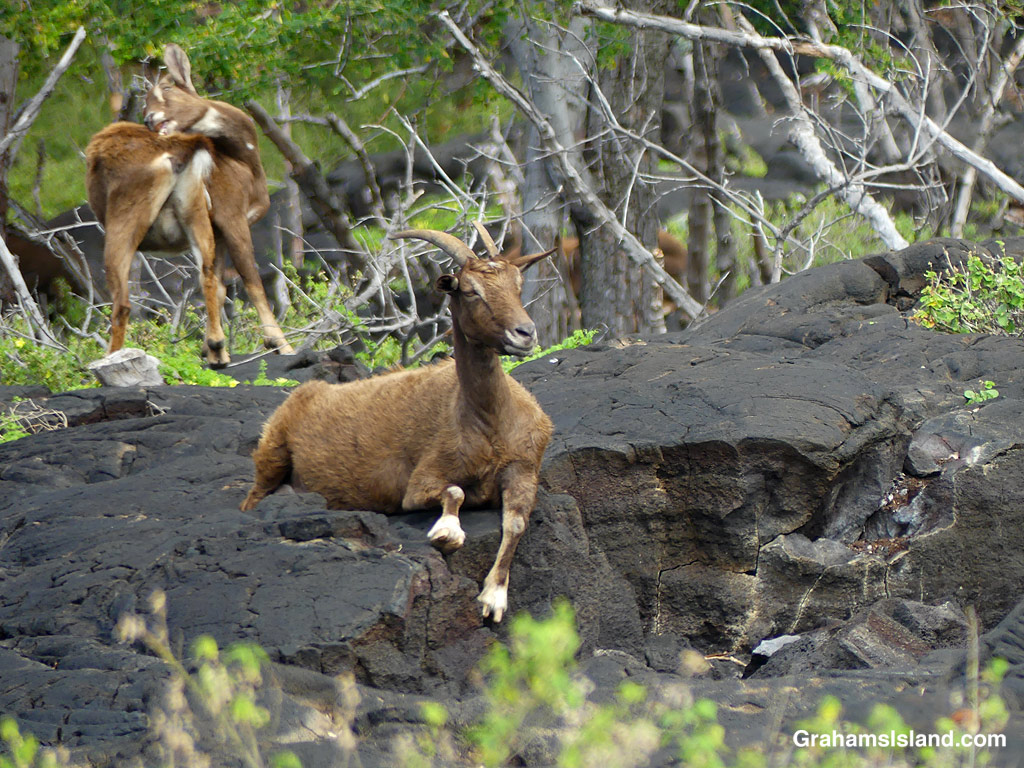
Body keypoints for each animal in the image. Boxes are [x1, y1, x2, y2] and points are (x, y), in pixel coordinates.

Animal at [84, 44, 293, 365]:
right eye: (144, 101)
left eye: (168, 87)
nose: (151, 119)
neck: (243, 160)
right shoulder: (232, 216)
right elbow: (251, 279)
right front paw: (280, 344)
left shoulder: (219, 229)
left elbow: (220, 285)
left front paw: (207, 348)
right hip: (128, 218)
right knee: (123, 303)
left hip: (186, 211)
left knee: (198, 275)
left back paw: (217, 349)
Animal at [241, 225, 555, 622]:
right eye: (471, 291)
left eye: (517, 285)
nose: (524, 333)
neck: (490, 420)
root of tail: (307, 393)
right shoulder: (422, 479)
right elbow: (456, 492)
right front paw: (447, 533)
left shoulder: (524, 467)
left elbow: (516, 522)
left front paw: (493, 598)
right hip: (273, 452)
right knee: (253, 497)